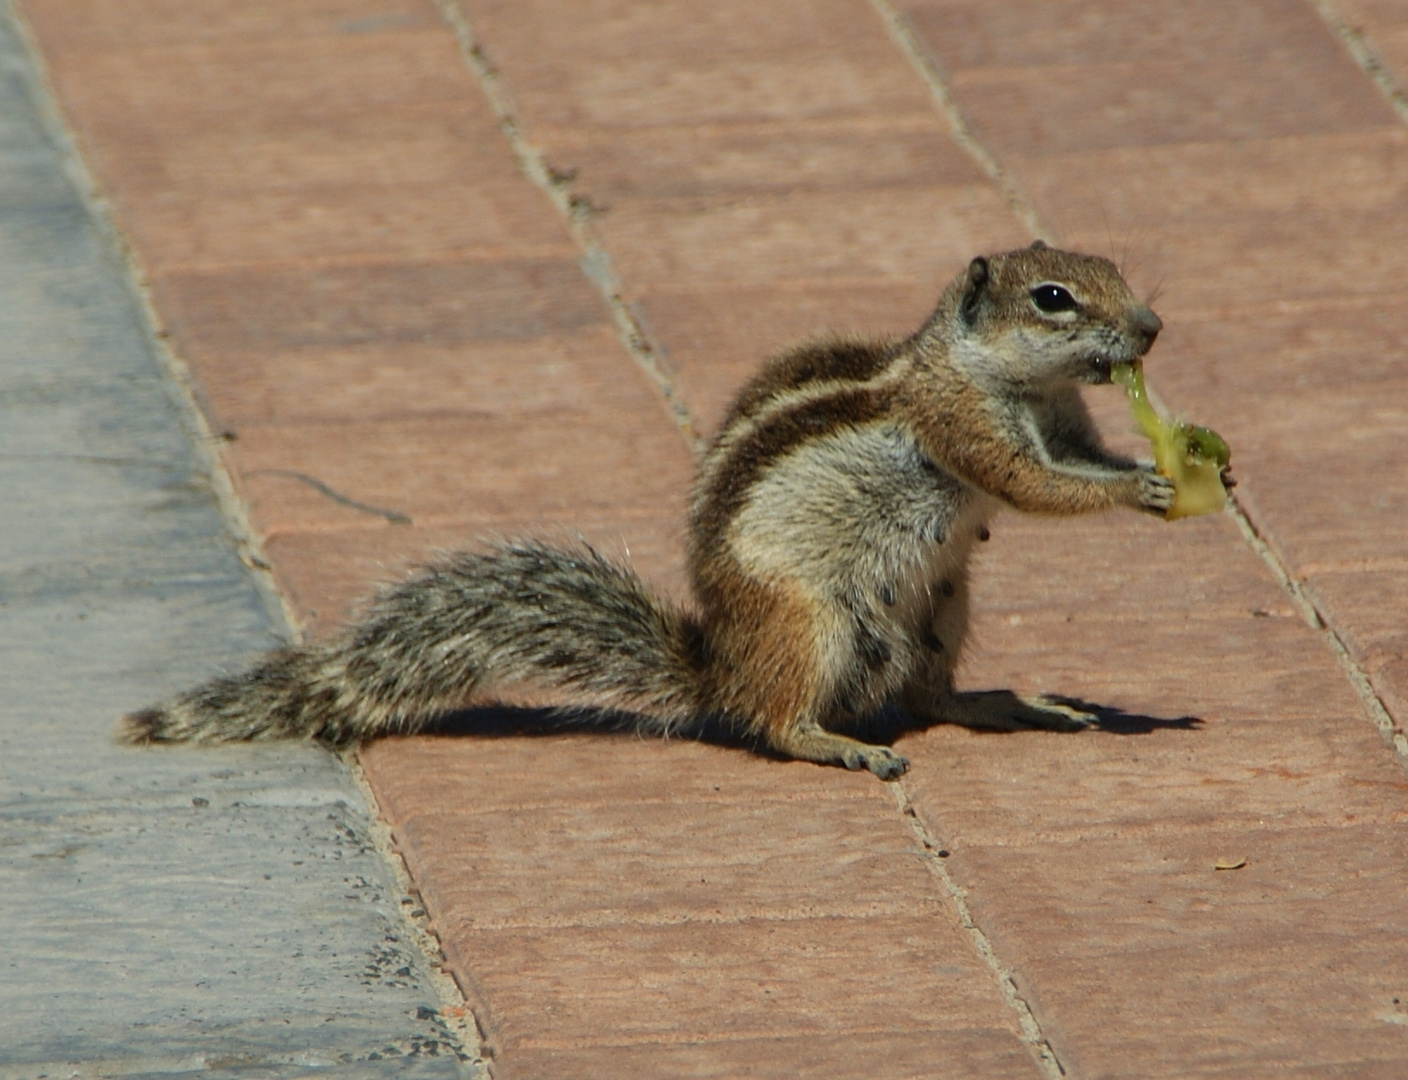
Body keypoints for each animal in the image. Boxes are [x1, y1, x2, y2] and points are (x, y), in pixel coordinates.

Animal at [121, 240, 1177, 782]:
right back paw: (838, 743)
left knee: (927, 695)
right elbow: (1035, 485)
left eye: (1120, 270)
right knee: (777, 721)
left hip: (943, 602)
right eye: (1053, 298)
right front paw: (1146, 486)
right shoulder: (961, 425)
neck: (1002, 375)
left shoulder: (1063, 422)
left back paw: (1008, 703)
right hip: (810, 622)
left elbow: (1074, 463)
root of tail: (718, 667)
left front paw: (1169, 467)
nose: (1154, 328)